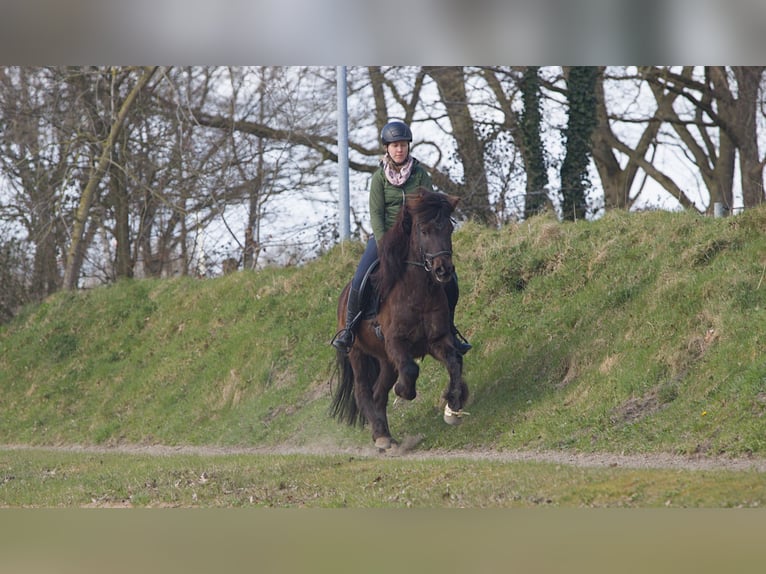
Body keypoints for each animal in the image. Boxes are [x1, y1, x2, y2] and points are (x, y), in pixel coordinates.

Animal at [330, 188, 469, 450]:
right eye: (424, 230)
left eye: (449, 228)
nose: (443, 270)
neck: (418, 292)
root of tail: (343, 295)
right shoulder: (396, 342)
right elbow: (411, 369)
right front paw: (404, 392)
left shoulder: (437, 340)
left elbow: (455, 363)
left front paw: (453, 406)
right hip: (358, 354)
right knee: (364, 391)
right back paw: (381, 435)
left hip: (385, 360)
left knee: (378, 393)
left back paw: (383, 435)